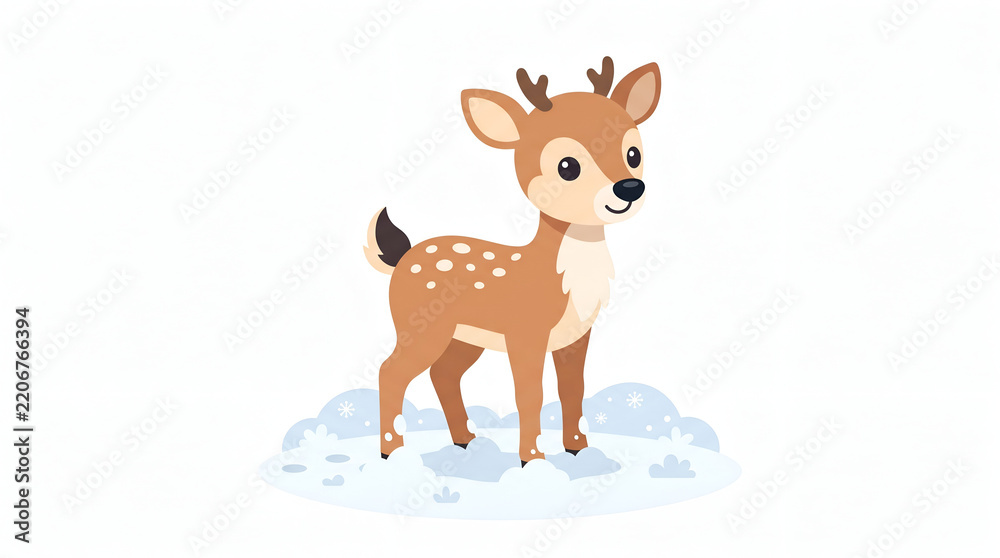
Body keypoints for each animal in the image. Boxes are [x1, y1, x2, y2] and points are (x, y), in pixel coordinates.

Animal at [364, 57, 661, 465]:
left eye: (633, 153)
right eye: (567, 166)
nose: (629, 188)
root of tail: (403, 256)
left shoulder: (575, 336)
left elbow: (572, 389)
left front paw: (578, 450)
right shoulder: (525, 333)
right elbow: (530, 394)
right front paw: (532, 460)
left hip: (463, 338)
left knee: (443, 374)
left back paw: (466, 441)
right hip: (420, 325)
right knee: (391, 371)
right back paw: (392, 453)